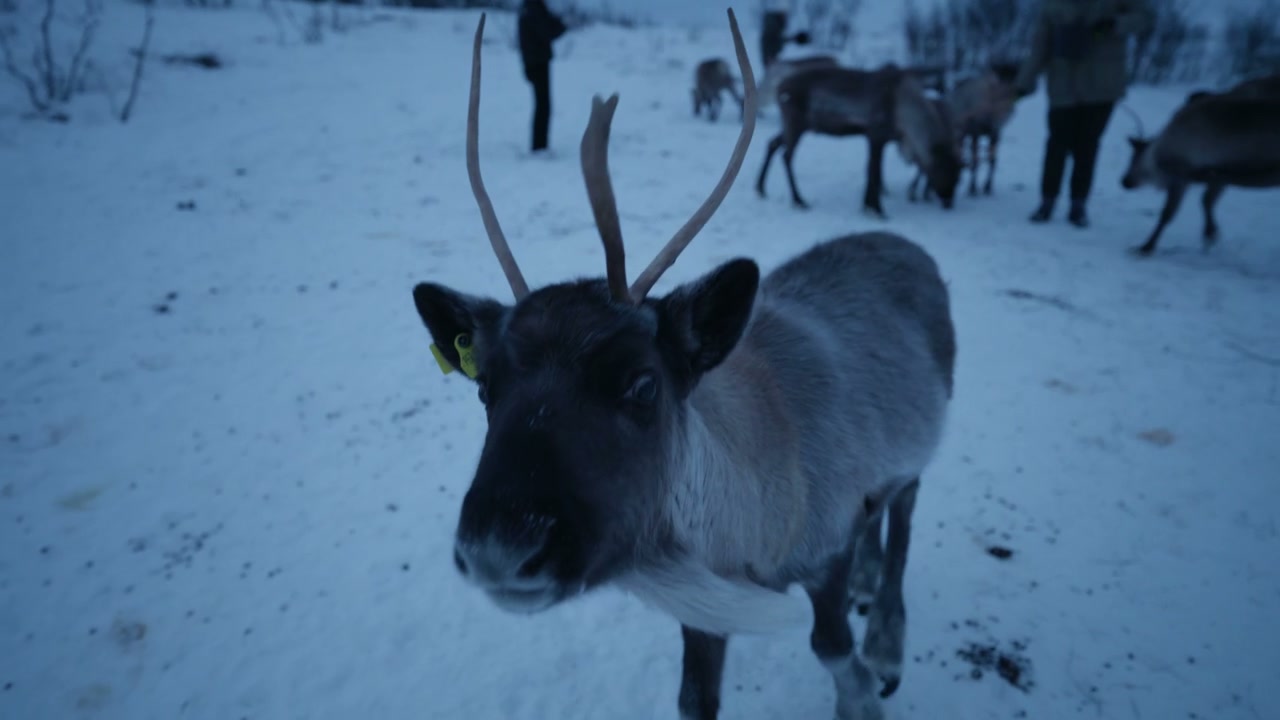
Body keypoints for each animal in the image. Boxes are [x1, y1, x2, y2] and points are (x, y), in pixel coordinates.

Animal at [755, 62, 963, 217]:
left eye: (959, 171)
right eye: (946, 168)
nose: (949, 201)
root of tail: (778, 88)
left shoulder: (879, 138)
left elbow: (872, 170)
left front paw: (867, 205)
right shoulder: (876, 134)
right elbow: (873, 171)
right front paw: (877, 209)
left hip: (798, 126)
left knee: (772, 143)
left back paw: (760, 187)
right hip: (795, 123)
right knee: (786, 156)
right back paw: (799, 200)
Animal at [1119, 94, 1280, 256]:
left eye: (1134, 159)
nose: (1124, 181)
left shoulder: (1183, 176)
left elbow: (1167, 214)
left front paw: (1146, 246)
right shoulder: (1218, 177)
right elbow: (1206, 201)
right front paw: (1210, 232)